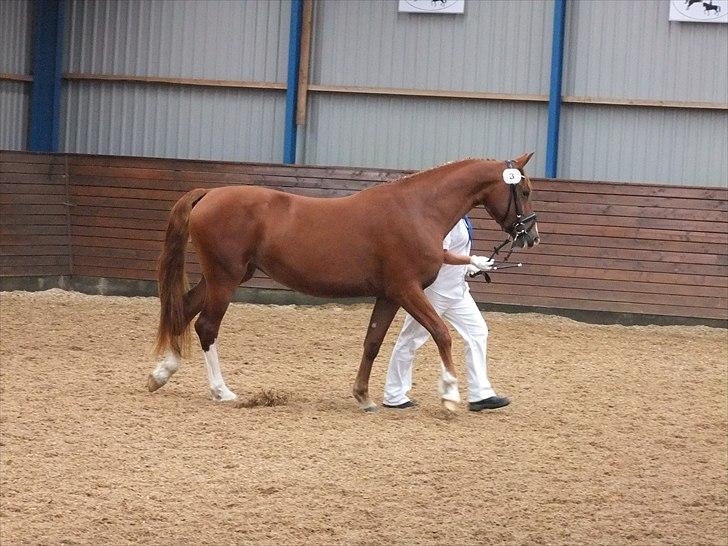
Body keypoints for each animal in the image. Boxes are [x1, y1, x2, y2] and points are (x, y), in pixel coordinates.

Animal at [148, 152, 536, 408]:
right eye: (525, 191)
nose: (531, 236)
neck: (417, 209)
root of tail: (210, 194)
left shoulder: (389, 295)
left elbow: (373, 342)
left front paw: (363, 396)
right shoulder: (406, 290)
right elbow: (441, 333)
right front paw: (451, 393)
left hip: (224, 278)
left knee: (183, 310)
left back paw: (161, 374)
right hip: (225, 280)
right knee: (206, 326)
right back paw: (221, 391)